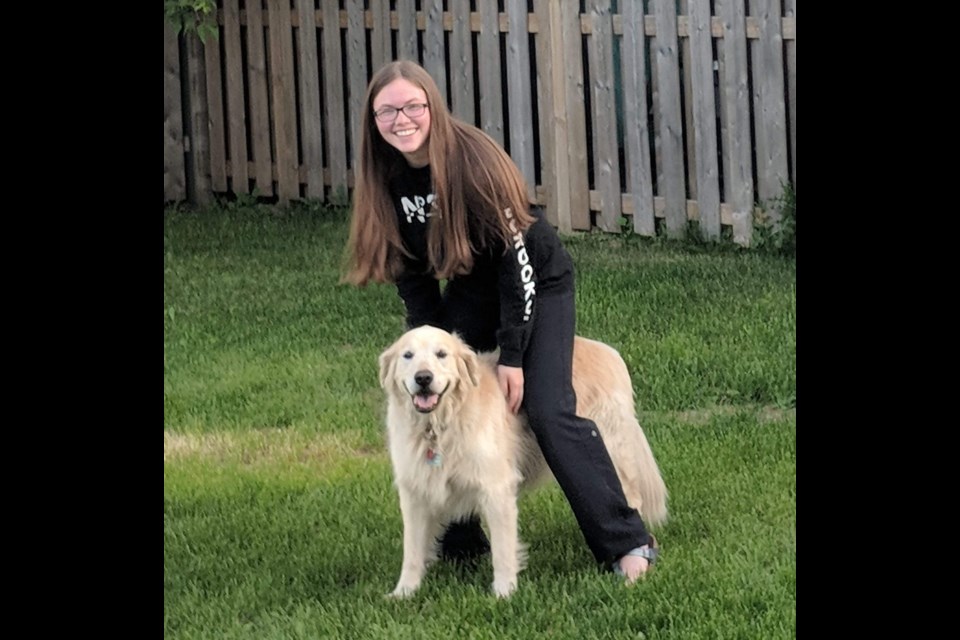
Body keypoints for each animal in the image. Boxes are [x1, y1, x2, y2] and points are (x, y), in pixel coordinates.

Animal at [376, 328, 668, 596]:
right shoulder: (415, 492)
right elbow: (412, 551)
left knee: (629, 499)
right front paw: (404, 593)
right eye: (408, 355)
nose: (423, 378)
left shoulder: (496, 488)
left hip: (611, 449)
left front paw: (504, 593)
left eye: (441, 354)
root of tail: (609, 352)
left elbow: (503, 549)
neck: (438, 425)